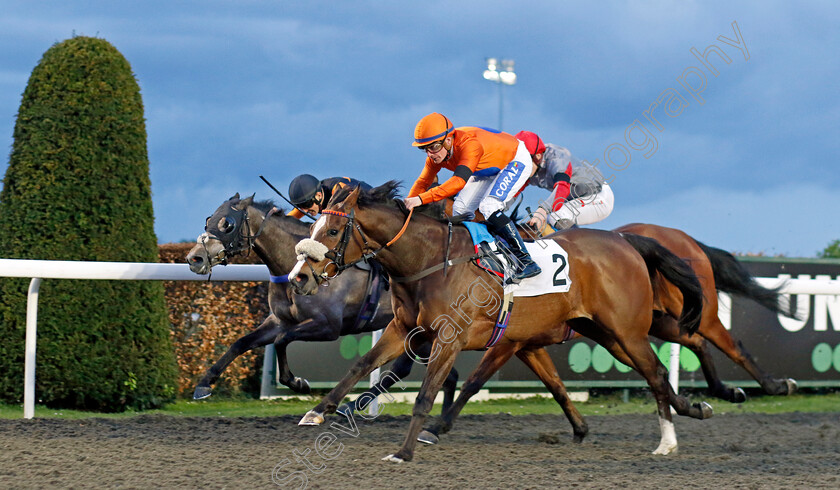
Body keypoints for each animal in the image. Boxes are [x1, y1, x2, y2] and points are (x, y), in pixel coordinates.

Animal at [187, 192, 460, 402]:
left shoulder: (328, 326)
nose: (194, 258)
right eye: (209, 220)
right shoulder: (279, 321)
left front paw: (298, 383)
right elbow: (240, 343)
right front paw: (204, 384)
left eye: (227, 224)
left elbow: (282, 340)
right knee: (444, 374)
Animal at [294, 182, 708, 462]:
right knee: (653, 371)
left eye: (332, 231)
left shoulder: (452, 338)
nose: (299, 277)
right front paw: (317, 412)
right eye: (312, 228)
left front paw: (406, 450)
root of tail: (625, 240)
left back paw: (668, 441)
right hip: (606, 334)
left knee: (657, 371)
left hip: (626, 330)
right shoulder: (405, 329)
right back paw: (694, 409)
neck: (430, 261)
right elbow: (360, 365)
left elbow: (429, 394)